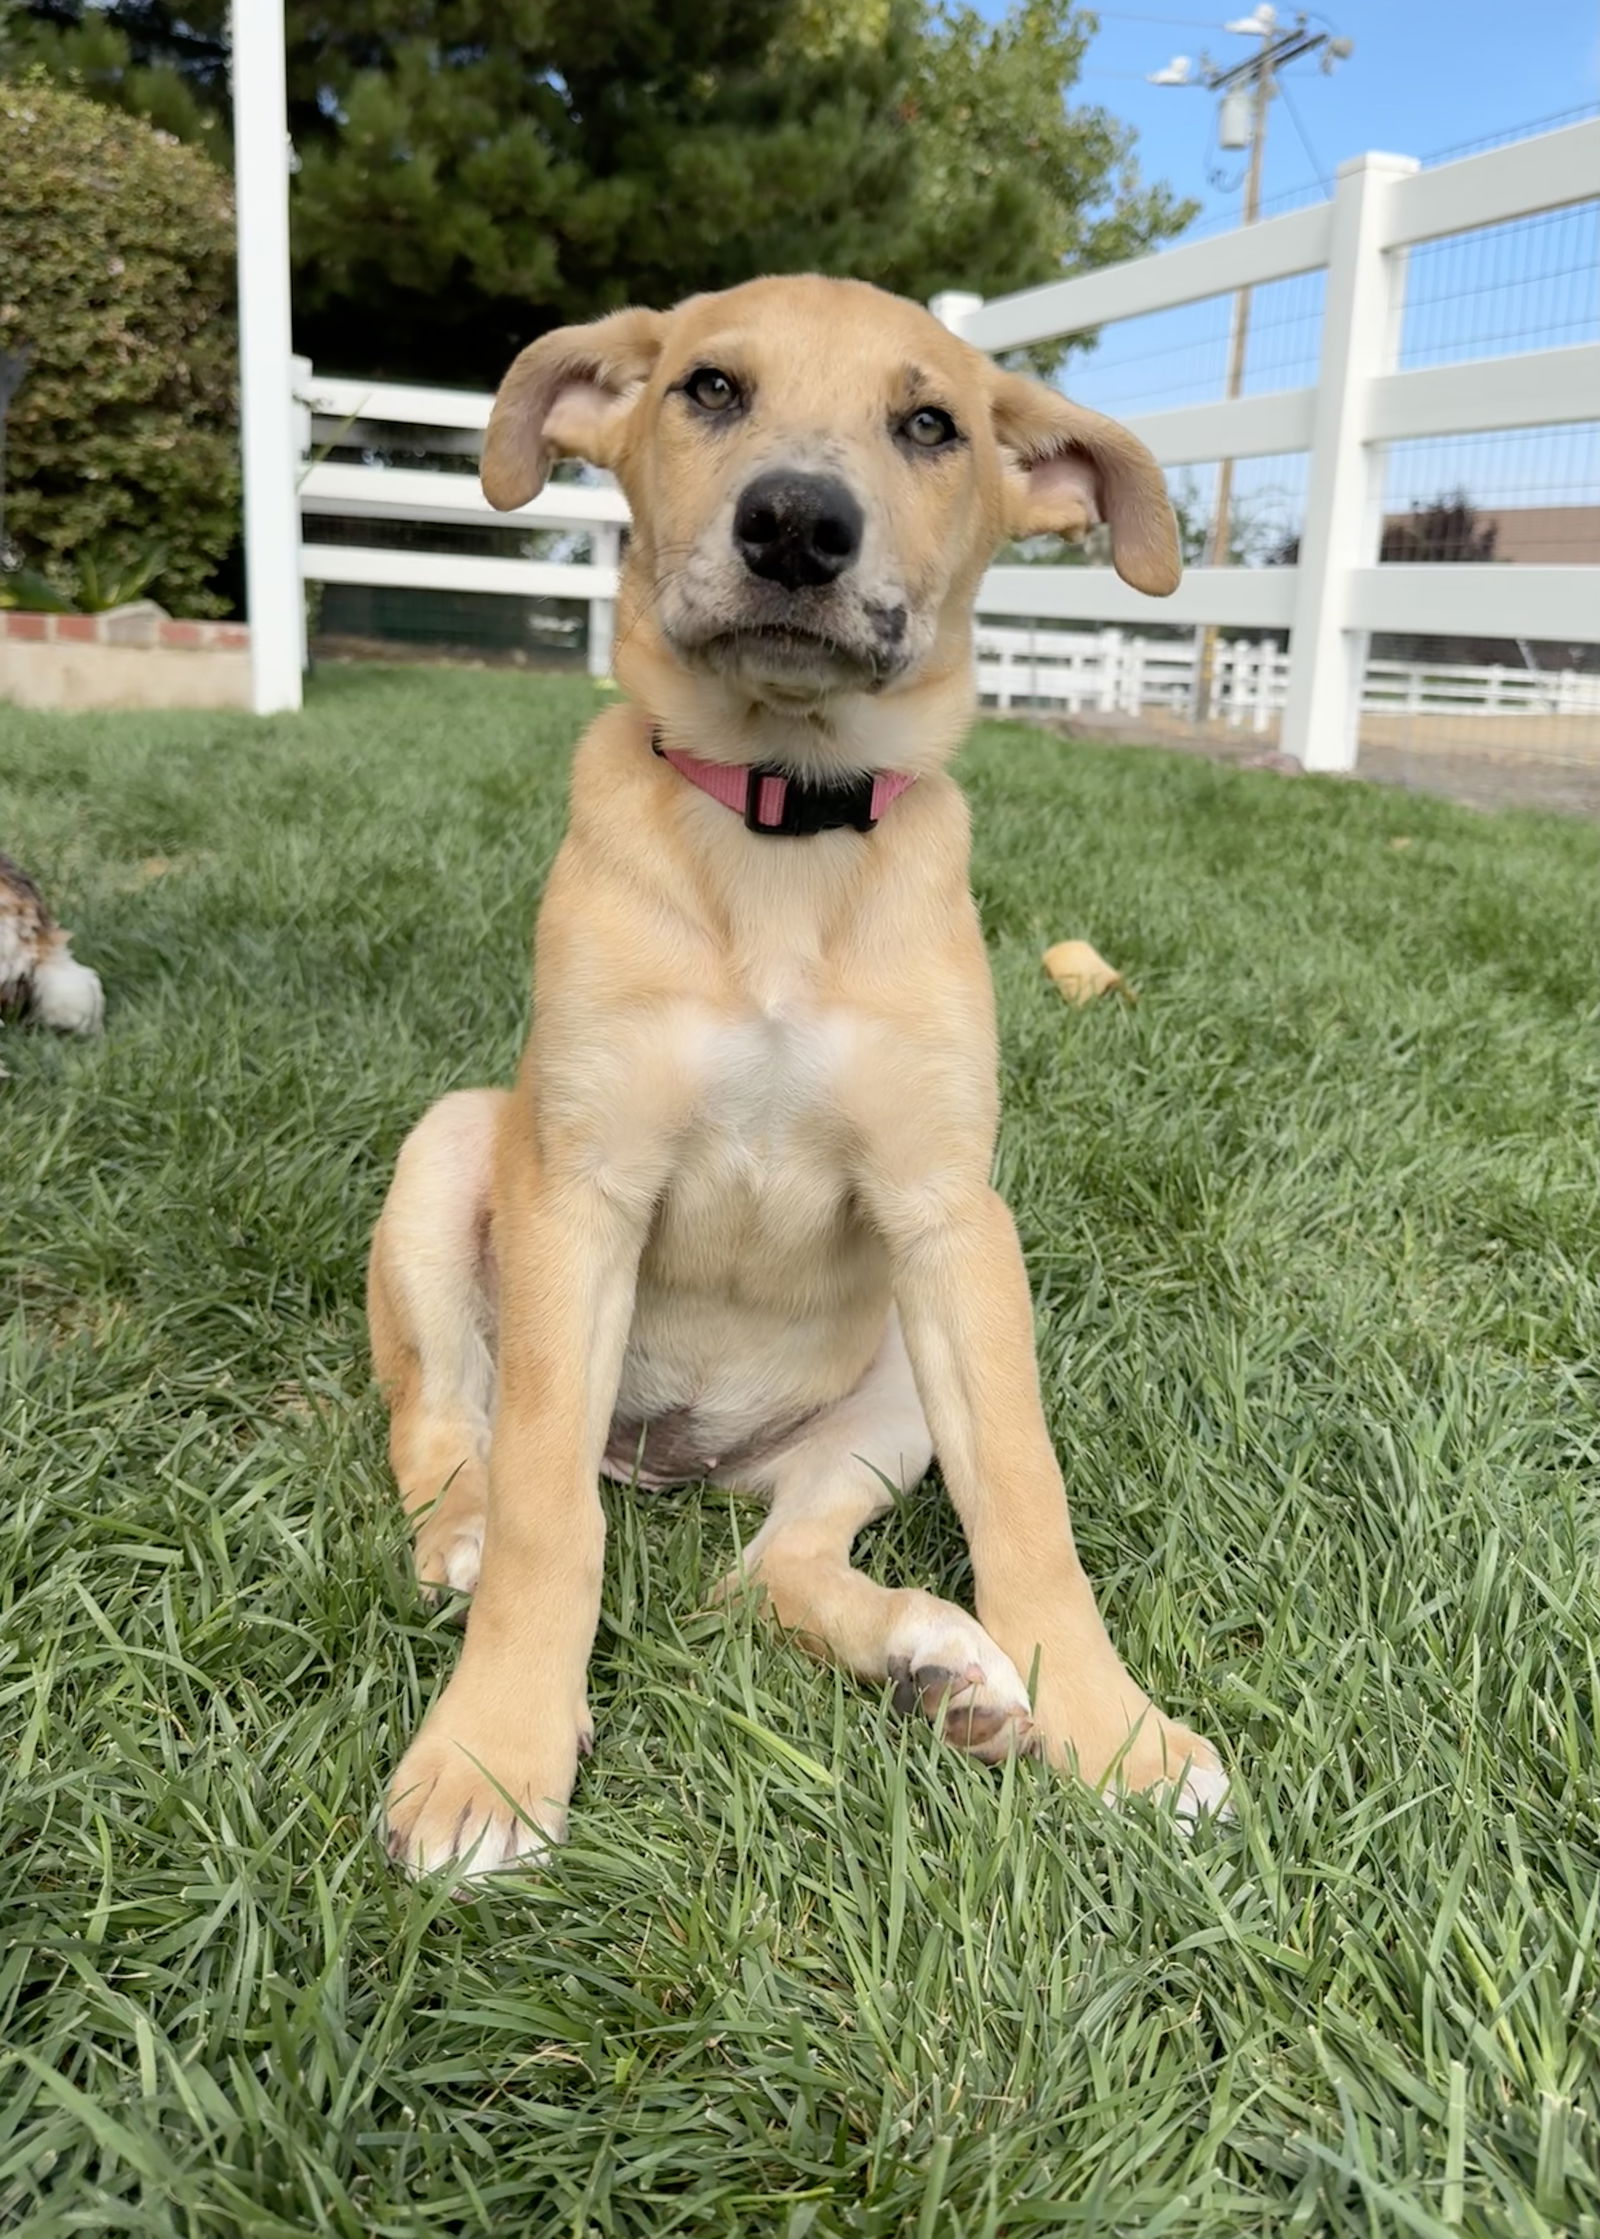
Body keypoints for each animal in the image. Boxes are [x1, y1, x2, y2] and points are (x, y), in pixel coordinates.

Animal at [371, 270, 1226, 1880]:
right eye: (709, 388)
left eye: (932, 425)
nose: (794, 527)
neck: (781, 830)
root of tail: (677, 1463)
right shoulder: (580, 1188)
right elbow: (547, 1518)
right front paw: (491, 1753)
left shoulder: (955, 1222)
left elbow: (1029, 1500)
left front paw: (1118, 1730)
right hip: (448, 1153)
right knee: (455, 1427)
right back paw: (460, 1535)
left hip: (887, 1382)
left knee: (770, 1562)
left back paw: (934, 1662)